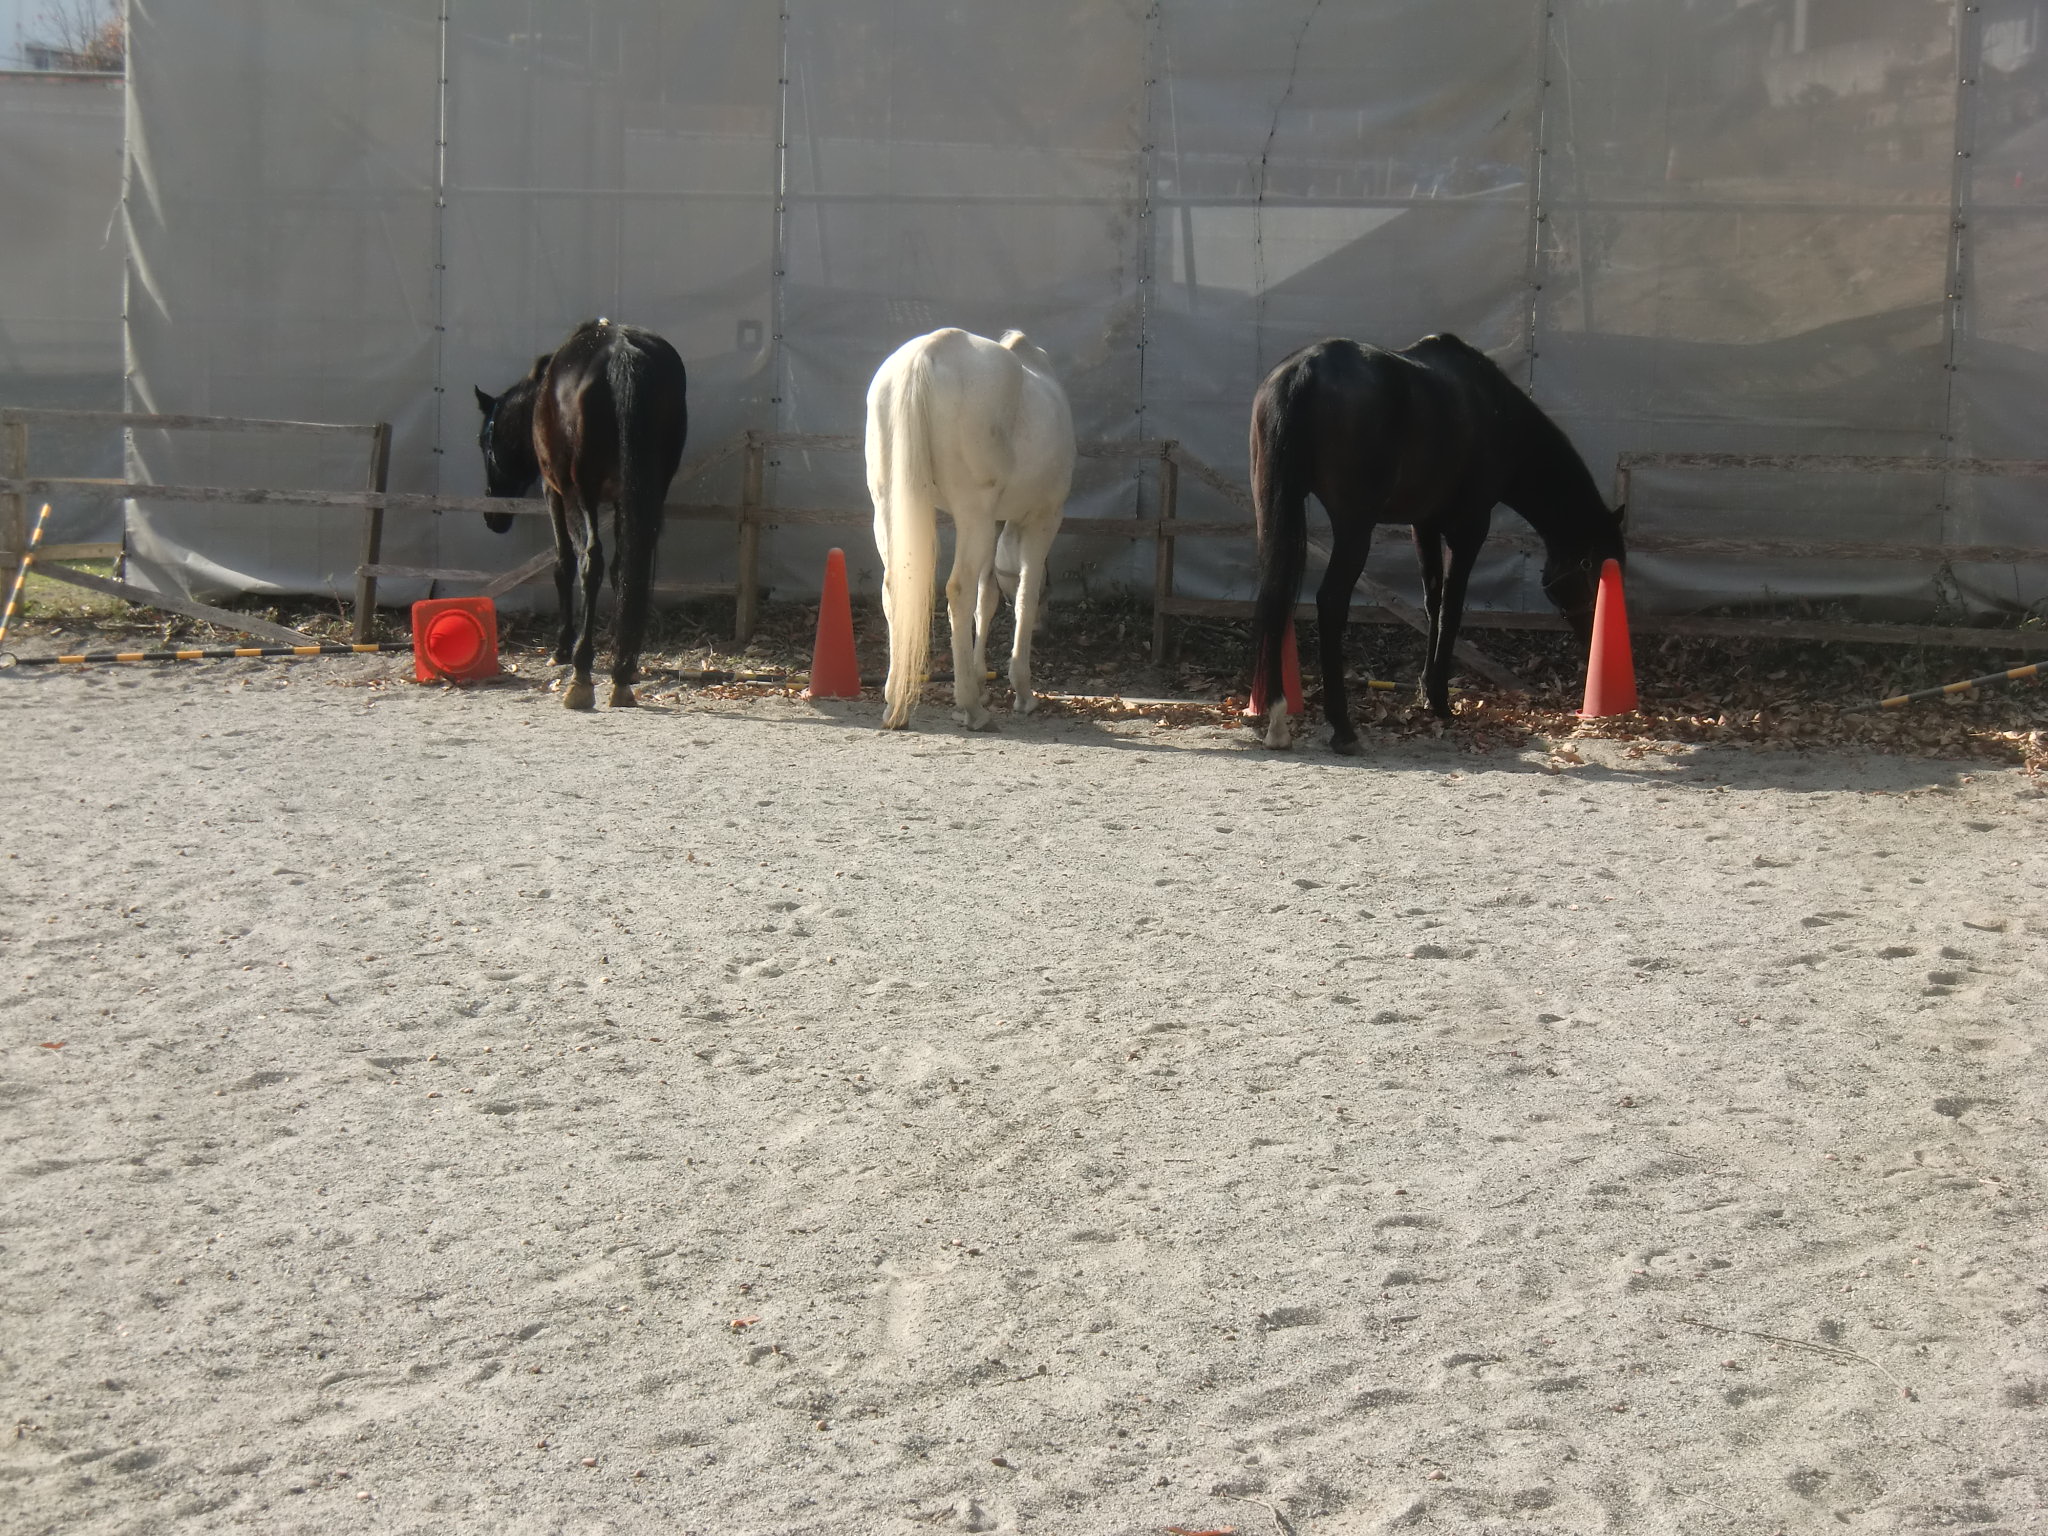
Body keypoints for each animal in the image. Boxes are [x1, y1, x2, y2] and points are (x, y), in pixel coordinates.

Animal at [474, 318, 688, 710]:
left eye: (485, 442)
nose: (493, 517)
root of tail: (621, 351)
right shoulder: (623, 499)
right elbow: (622, 571)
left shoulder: (554, 493)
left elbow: (564, 565)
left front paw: (562, 648)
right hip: (651, 487)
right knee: (629, 562)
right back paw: (623, 668)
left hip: (579, 491)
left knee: (591, 561)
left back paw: (582, 673)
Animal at [865, 327, 1075, 731]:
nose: (1046, 628)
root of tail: (930, 349)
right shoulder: (1043, 518)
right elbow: (1022, 595)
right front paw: (1021, 691)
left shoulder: (991, 522)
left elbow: (987, 598)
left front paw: (981, 680)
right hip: (972, 513)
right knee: (958, 589)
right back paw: (971, 709)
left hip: (889, 508)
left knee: (894, 588)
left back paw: (895, 701)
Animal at [1249, 333, 1625, 753]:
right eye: (1597, 569)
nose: (1594, 639)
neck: (1498, 413)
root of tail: (1305, 371)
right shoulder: (1469, 529)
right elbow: (1452, 607)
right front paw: (1441, 700)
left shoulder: (1423, 525)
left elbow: (1432, 603)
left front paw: (1426, 690)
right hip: (1353, 526)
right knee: (1330, 602)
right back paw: (1342, 727)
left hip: (1273, 511)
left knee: (1276, 594)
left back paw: (1276, 719)